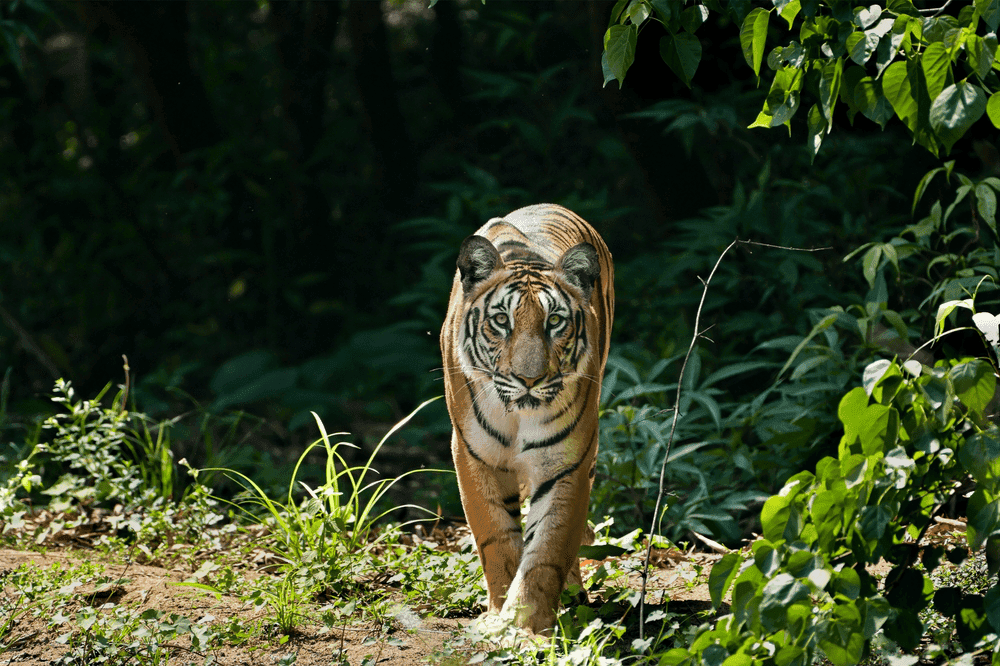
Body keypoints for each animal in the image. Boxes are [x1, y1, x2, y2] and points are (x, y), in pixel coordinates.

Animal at [440, 203, 614, 633]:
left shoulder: (566, 462)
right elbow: (496, 538)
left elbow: (547, 548)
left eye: (554, 322)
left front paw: (524, 626)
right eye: (502, 321)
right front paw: (497, 615)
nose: (529, 379)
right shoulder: (472, 456)